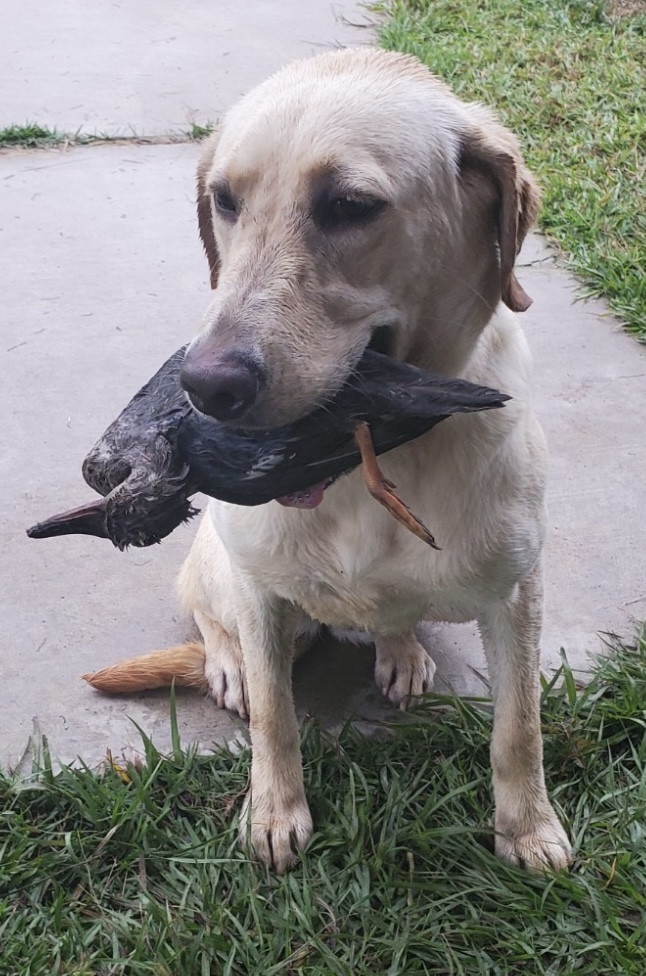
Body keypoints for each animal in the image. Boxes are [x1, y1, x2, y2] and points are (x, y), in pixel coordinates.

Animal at [124, 45, 576, 872]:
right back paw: (229, 664)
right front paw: (275, 813)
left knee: (396, 619)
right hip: (222, 568)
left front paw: (528, 828)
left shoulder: (516, 595)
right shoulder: (261, 594)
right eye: (224, 200)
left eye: (351, 205)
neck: (368, 463)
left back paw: (399, 650)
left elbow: (518, 727)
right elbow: (275, 717)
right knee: (207, 614)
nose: (204, 386)